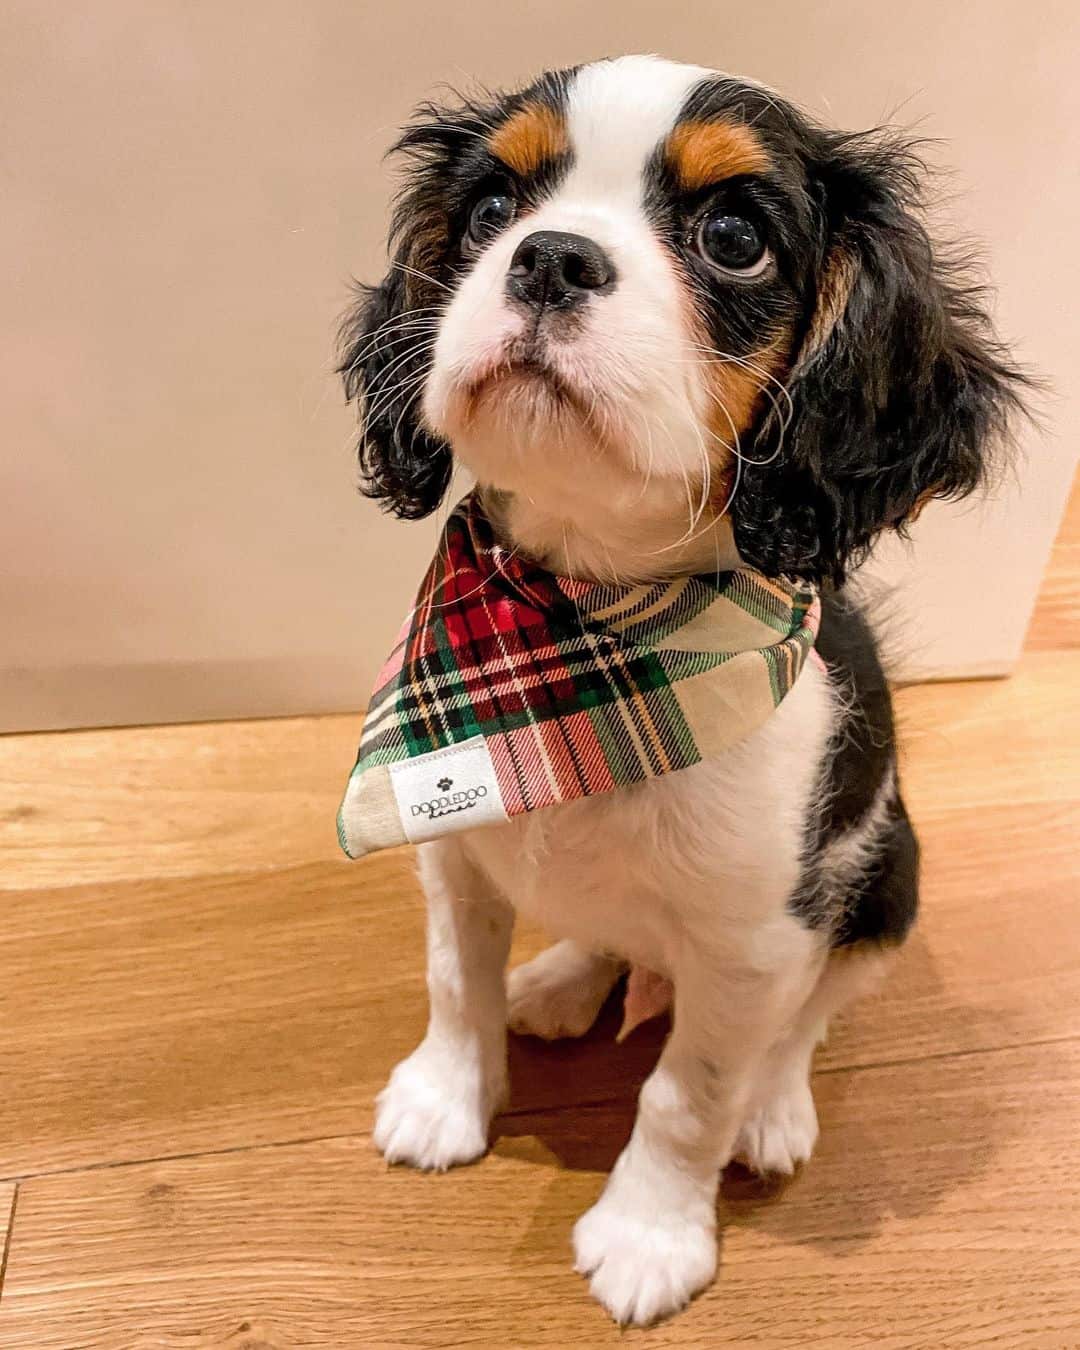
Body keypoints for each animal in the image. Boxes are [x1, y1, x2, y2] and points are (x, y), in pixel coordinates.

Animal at [337, 58, 1020, 1323]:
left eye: (735, 239)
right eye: (492, 208)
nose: (550, 258)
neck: (576, 617)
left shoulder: (755, 940)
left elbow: (688, 1091)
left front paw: (650, 1235)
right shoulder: (452, 852)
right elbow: (454, 980)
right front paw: (445, 1099)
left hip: (887, 879)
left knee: (809, 1020)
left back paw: (775, 1107)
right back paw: (564, 978)